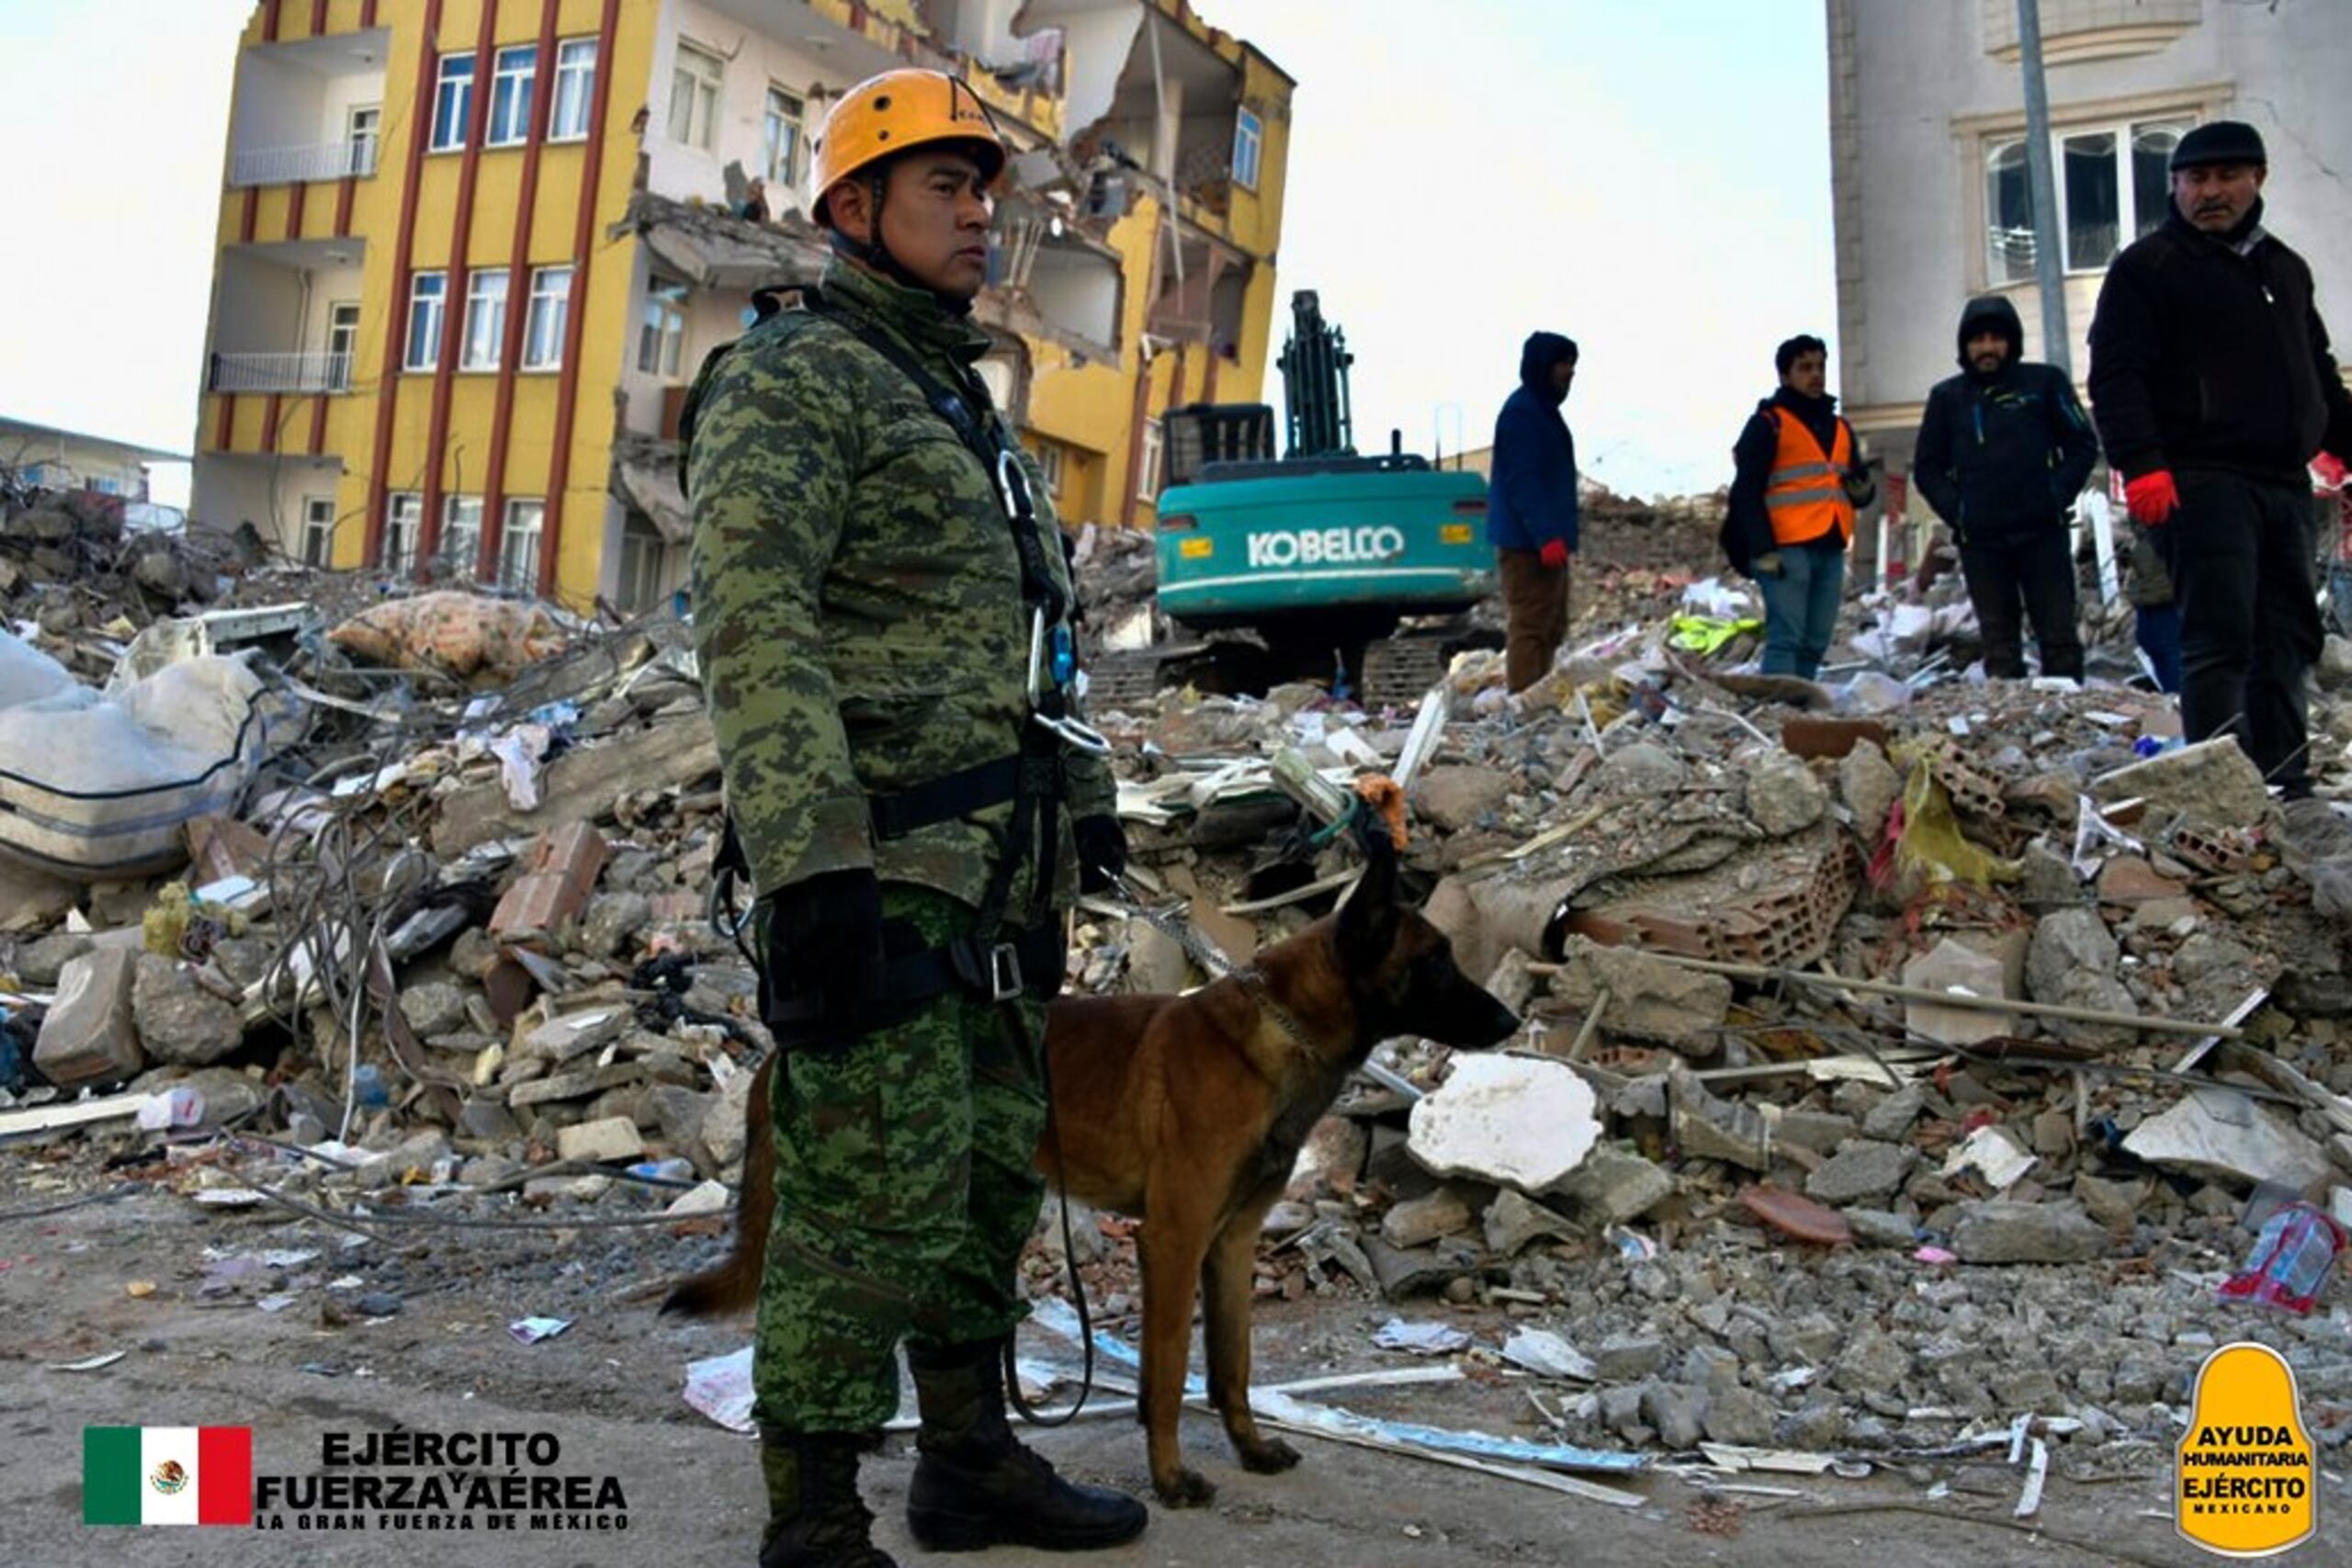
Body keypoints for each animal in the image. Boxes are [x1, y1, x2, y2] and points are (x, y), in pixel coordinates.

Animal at [668, 831, 1505, 1504]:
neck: (1279, 1031)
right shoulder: (1172, 1240)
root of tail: (778, 1049)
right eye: (1435, 965)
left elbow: (1231, 1364)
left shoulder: (1231, 1245)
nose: (1508, 1020)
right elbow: (1168, 1376)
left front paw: (1249, 1446)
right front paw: (1169, 1477)